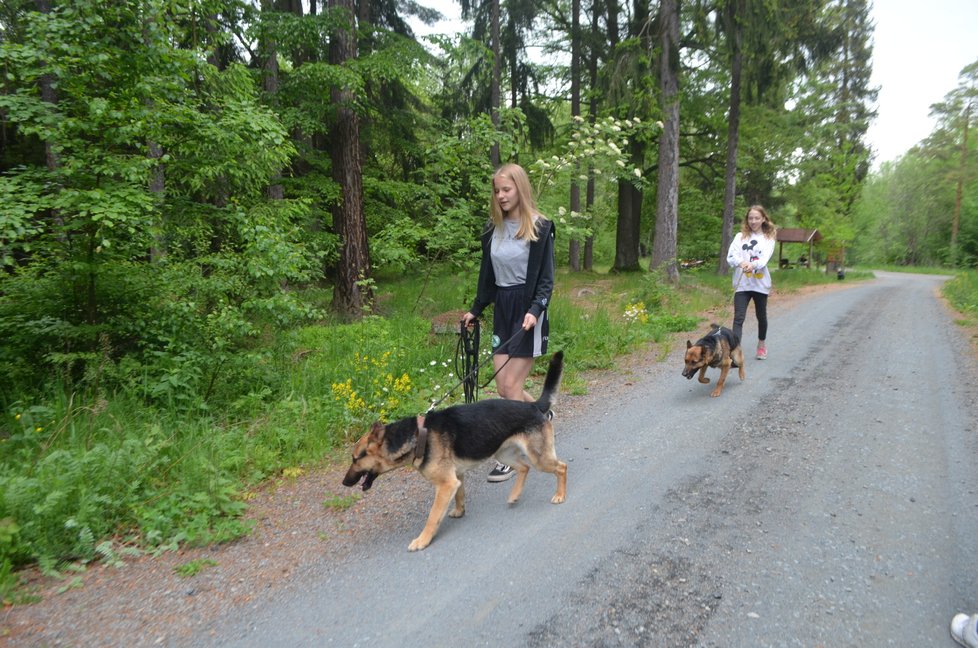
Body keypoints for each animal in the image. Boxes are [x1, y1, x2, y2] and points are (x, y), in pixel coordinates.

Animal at [344, 352, 568, 548]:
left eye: (355, 459)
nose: (344, 483)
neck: (419, 436)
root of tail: (533, 406)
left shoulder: (445, 485)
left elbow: (433, 516)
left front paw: (422, 540)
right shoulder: (456, 477)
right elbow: (460, 495)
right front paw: (459, 511)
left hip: (539, 459)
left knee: (561, 467)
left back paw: (560, 495)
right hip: (502, 453)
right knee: (524, 468)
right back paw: (514, 495)